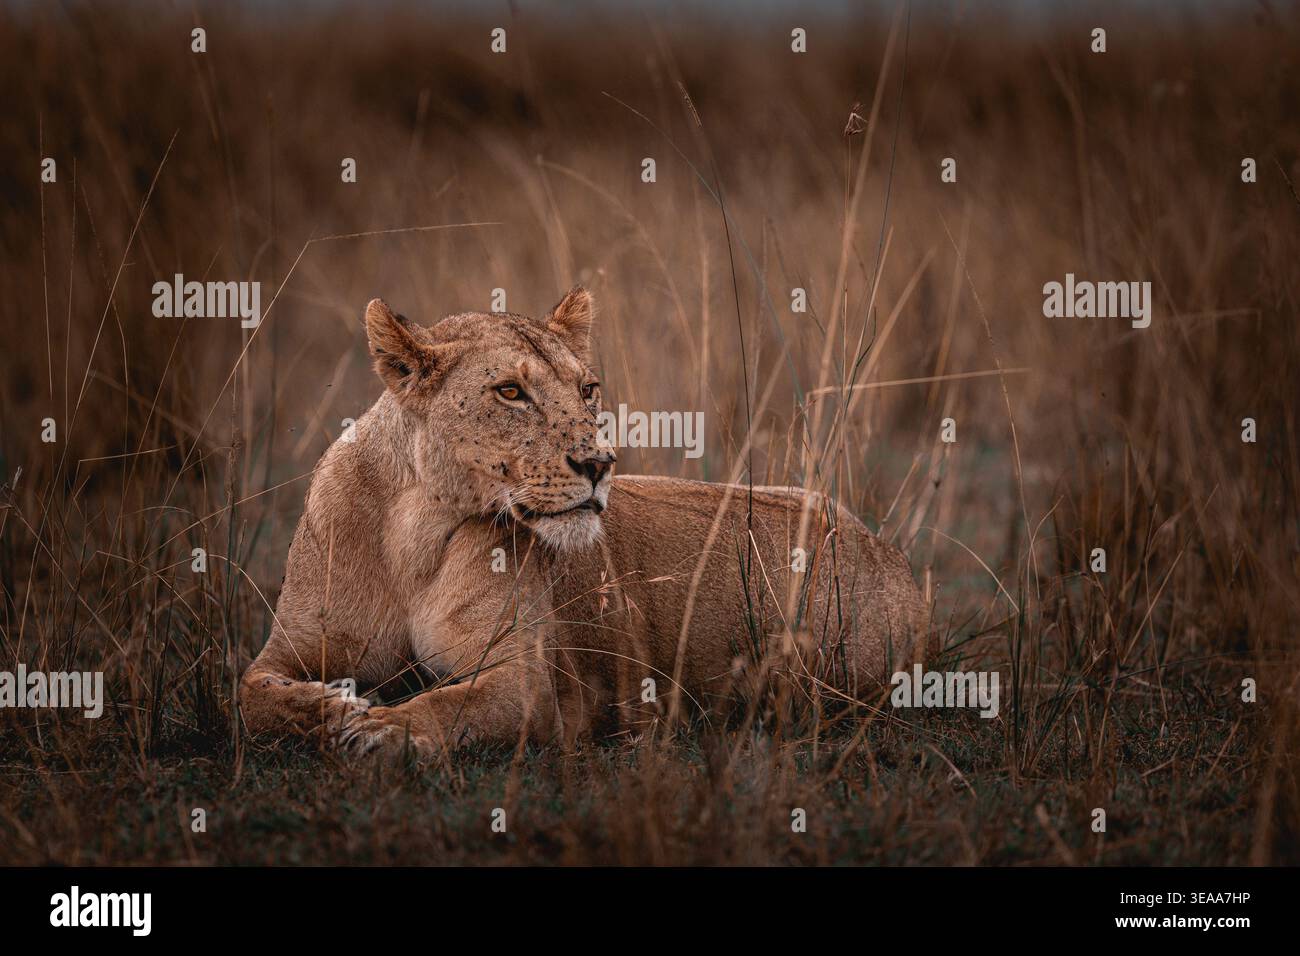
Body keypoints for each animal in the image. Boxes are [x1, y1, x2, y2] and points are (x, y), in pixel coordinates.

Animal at [239, 287, 928, 758]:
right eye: (510, 392)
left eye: (587, 389)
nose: (599, 463)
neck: (417, 530)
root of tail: (888, 552)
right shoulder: (289, 650)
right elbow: (250, 695)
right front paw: (335, 706)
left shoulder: (525, 683)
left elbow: (441, 704)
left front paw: (378, 727)